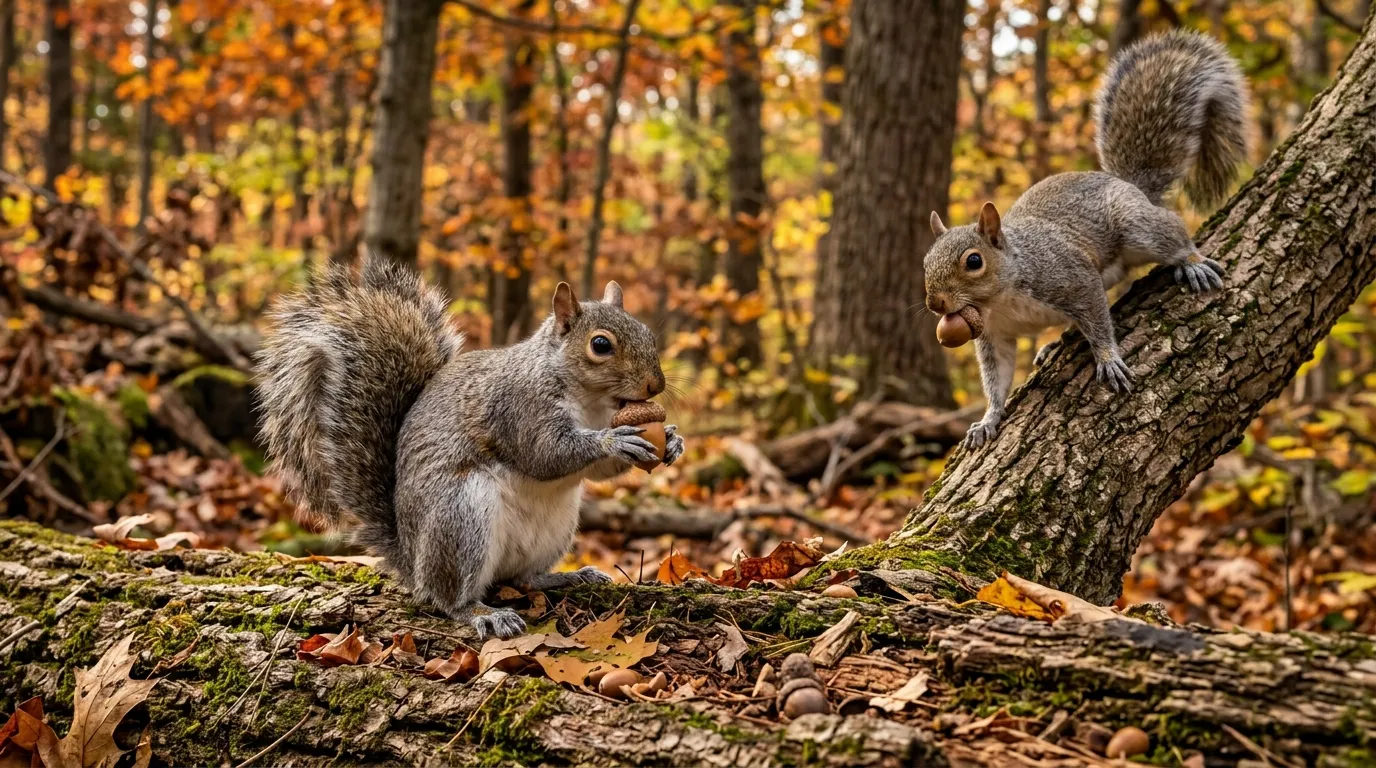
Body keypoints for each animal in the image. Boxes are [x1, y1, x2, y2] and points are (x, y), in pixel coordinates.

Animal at [256, 254, 684, 639]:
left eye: (647, 333)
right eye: (600, 345)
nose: (655, 385)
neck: (591, 401)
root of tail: (412, 562)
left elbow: (598, 472)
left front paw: (672, 440)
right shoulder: (519, 409)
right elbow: (546, 454)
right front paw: (614, 440)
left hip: (555, 528)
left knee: (525, 578)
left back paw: (570, 577)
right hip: (461, 516)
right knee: (449, 598)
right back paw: (484, 614)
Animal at [924, 29, 1249, 449]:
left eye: (974, 261)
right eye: (925, 262)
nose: (935, 303)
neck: (1002, 299)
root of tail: (1127, 184)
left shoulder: (1069, 277)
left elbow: (1096, 317)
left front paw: (1107, 358)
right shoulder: (995, 336)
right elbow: (996, 380)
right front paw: (988, 419)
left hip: (1135, 225)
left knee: (1170, 230)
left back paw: (1191, 263)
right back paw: (1053, 344)